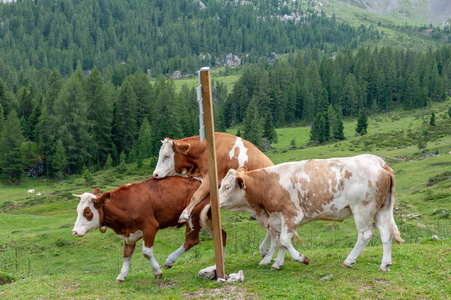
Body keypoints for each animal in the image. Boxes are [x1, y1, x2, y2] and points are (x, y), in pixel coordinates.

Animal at [73, 176, 226, 282]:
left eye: (87, 212)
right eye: (78, 210)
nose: (74, 232)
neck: (126, 204)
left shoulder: (150, 226)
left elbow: (146, 252)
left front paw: (157, 271)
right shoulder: (129, 234)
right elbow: (127, 255)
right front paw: (121, 275)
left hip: (193, 216)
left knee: (191, 240)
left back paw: (169, 261)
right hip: (207, 218)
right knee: (221, 234)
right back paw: (218, 265)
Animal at [217, 155, 404, 272]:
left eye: (227, 187)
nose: (215, 201)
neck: (268, 184)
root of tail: (379, 162)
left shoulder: (292, 214)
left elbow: (284, 240)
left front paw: (302, 258)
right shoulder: (278, 218)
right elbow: (280, 243)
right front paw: (277, 263)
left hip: (362, 209)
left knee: (365, 235)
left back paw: (348, 261)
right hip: (381, 209)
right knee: (386, 234)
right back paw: (384, 265)